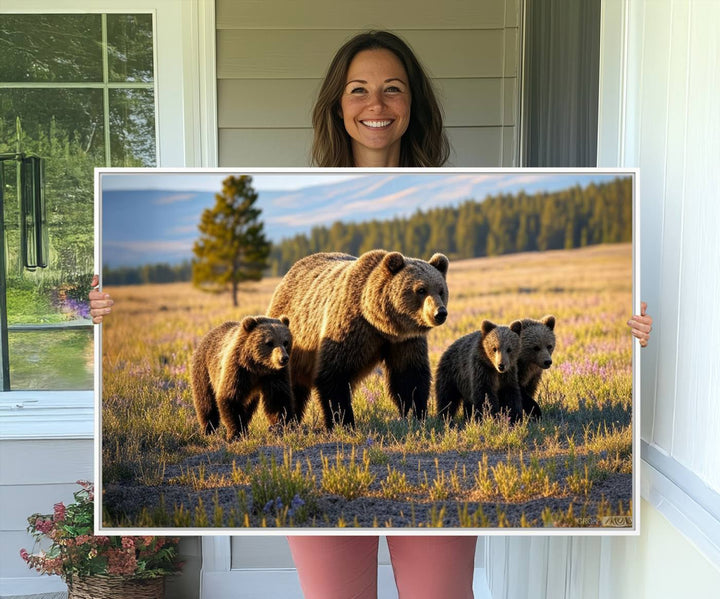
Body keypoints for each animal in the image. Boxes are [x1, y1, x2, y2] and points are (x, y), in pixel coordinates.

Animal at [268, 251, 448, 428]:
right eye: (421, 290)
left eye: (441, 290)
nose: (440, 313)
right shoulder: (349, 328)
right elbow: (334, 374)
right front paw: (342, 421)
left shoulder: (405, 341)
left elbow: (409, 376)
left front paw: (416, 415)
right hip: (291, 341)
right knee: (285, 385)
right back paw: (284, 421)